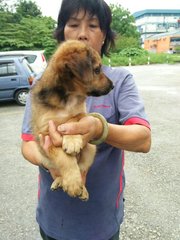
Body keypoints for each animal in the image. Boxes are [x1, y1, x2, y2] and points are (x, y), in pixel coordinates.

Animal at [30, 39, 112, 201]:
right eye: (97, 69)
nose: (113, 85)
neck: (68, 98)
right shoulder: (45, 133)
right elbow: (64, 158)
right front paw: (73, 184)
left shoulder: (83, 113)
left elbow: (74, 117)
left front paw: (72, 139)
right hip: (44, 158)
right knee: (59, 170)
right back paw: (60, 181)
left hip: (90, 150)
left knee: (81, 169)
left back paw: (82, 189)